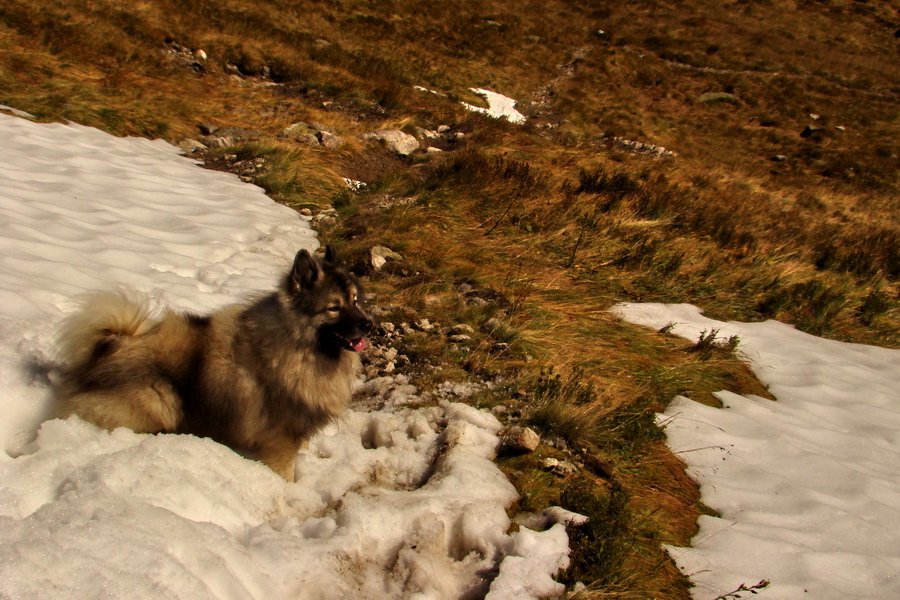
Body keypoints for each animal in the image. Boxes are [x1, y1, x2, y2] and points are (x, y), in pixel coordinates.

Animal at [53, 246, 372, 480]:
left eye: (355, 301)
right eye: (333, 308)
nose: (369, 324)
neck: (299, 346)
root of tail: (110, 347)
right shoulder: (279, 440)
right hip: (160, 400)